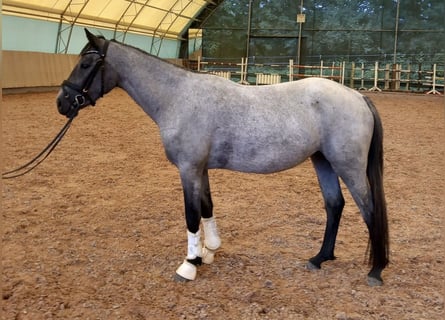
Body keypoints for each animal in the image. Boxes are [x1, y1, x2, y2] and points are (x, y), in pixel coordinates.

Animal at [56, 29, 388, 284]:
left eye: (86, 63)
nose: (62, 102)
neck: (178, 97)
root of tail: (357, 95)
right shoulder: (200, 169)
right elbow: (207, 207)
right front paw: (209, 251)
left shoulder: (188, 169)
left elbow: (191, 215)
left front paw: (189, 264)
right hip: (323, 161)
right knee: (335, 205)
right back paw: (320, 258)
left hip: (348, 166)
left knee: (369, 210)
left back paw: (376, 269)